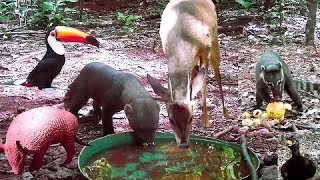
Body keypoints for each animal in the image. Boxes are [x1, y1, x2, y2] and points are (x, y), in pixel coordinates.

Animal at [147, 0, 228, 149]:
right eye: (171, 119)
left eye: (191, 118)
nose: (183, 144)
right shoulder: (166, 50)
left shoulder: (205, 50)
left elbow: (203, 85)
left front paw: (206, 121)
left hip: (214, 41)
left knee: (217, 73)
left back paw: (226, 112)